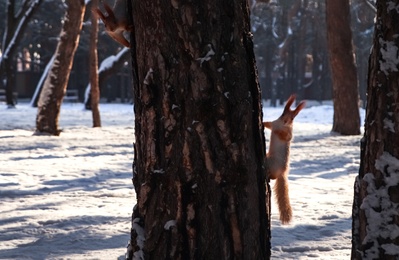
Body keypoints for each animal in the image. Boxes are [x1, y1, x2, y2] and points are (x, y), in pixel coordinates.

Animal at [266, 94, 306, 224]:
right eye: (283, 113)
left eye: (293, 118)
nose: (286, 121)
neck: (282, 124)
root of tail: (282, 172)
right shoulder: (273, 123)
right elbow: (268, 124)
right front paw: (262, 124)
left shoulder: (287, 132)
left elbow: (285, 136)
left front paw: (277, 132)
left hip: (272, 165)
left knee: (272, 176)